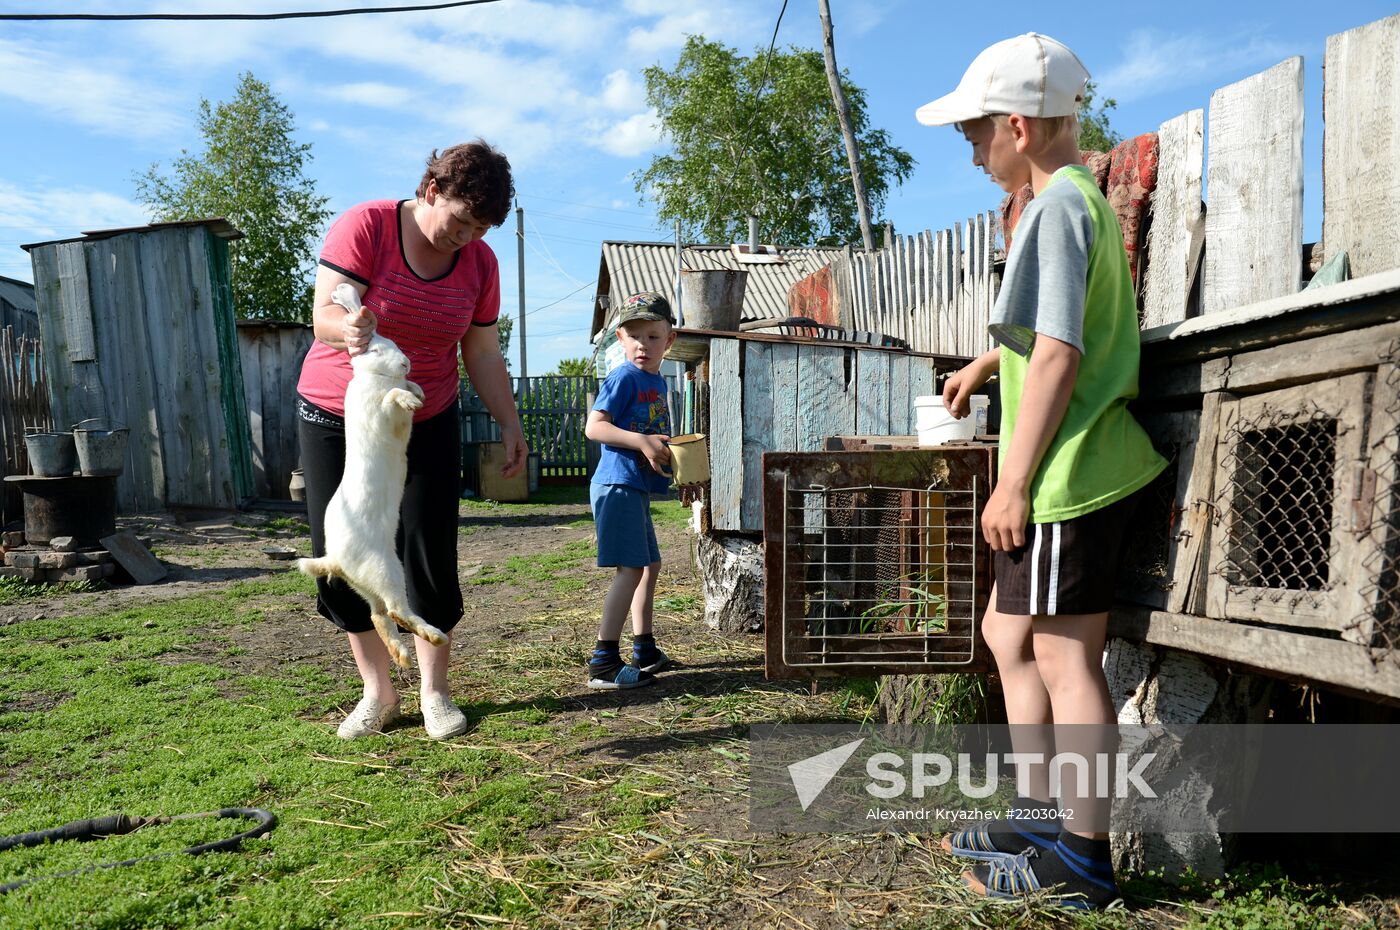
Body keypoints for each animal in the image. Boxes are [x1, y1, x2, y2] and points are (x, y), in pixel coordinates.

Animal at [296, 282, 445, 669]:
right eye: (376, 348)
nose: (406, 362)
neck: (374, 377)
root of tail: (335, 560)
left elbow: (406, 388)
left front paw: (417, 392)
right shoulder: (386, 415)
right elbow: (393, 397)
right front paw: (411, 399)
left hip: (368, 584)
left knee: (379, 616)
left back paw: (404, 654)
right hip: (386, 570)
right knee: (393, 610)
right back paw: (433, 637)